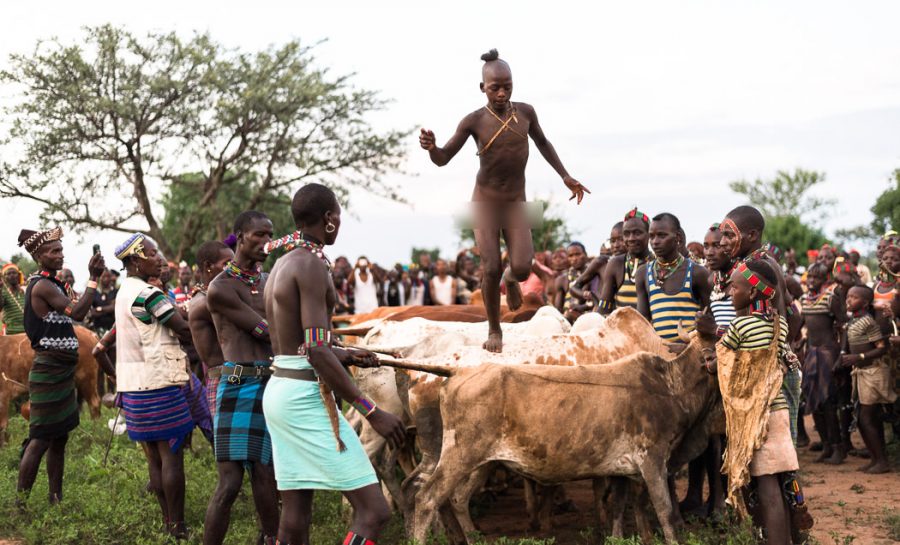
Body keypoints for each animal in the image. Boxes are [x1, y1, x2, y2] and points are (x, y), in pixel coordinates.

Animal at [388, 328, 716, 544]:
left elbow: (622, 505)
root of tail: (458, 372)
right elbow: (665, 511)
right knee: (428, 498)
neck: (671, 385)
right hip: (459, 456)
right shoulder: (653, 460)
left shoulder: (625, 468)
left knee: (422, 492)